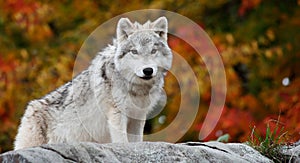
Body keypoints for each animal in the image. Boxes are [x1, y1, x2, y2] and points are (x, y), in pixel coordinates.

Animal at [14, 15, 172, 150]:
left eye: (153, 51)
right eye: (134, 51)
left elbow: (137, 142)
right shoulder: (117, 113)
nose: (148, 70)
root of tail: (30, 107)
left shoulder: (138, 117)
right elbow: (122, 141)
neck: (137, 89)